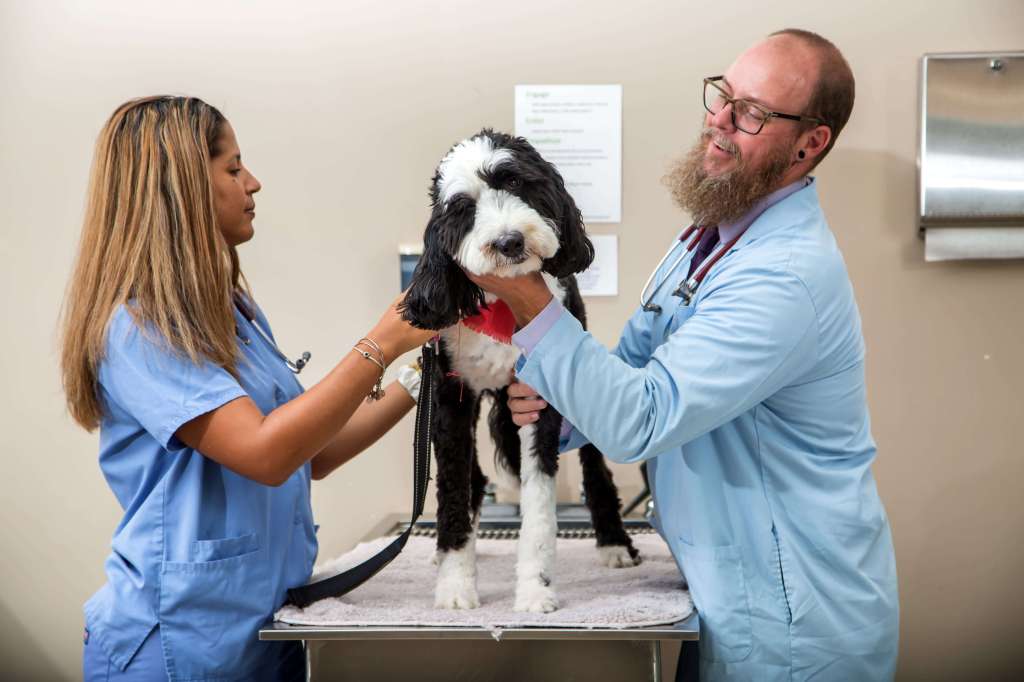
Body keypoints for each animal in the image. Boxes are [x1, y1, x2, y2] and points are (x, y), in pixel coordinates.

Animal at [403, 129, 634, 610]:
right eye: (463, 208)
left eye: (516, 183)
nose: (509, 241)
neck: (502, 308)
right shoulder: (450, 400)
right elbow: (453, 488)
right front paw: (456, 584)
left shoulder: (539, 400)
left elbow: (540, 507)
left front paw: (534, 590)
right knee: (472, 480)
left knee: (594, 464)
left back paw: (614, 543)